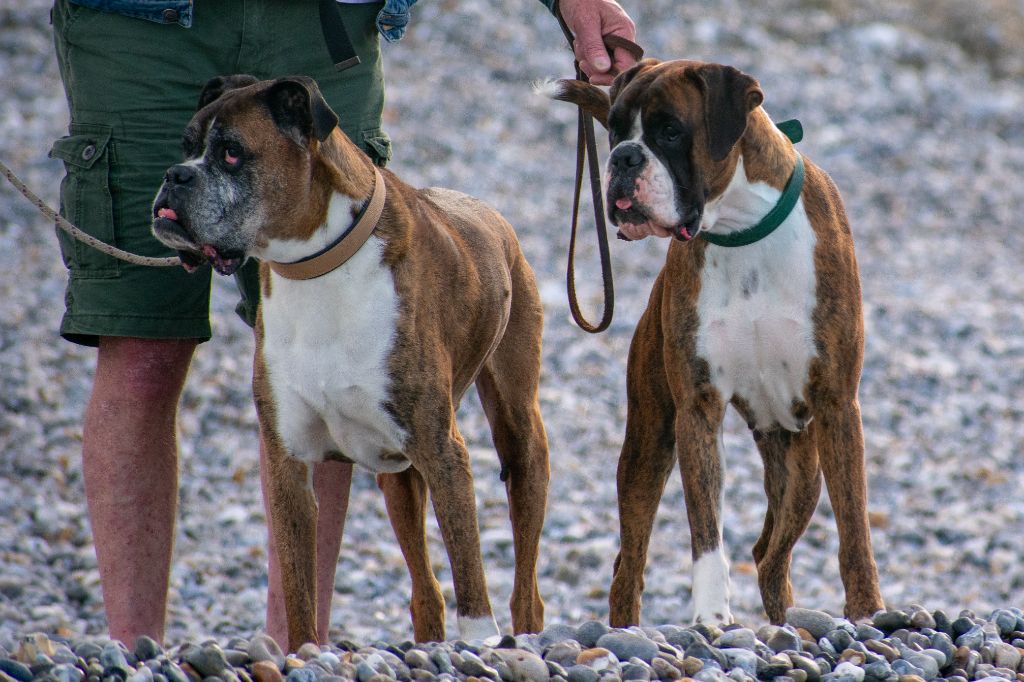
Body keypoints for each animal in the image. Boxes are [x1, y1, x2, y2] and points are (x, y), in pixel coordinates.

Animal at [149, 74, 552, 647]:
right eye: (186, 147)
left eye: (230, 153)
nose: (174, 175)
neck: (314, 267)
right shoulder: (288, 464)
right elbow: (298, 588)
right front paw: (302, 652)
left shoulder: (444, 452)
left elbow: (469, 568)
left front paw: (478, 641)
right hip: (399, 481)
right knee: (426, 591)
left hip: (521, 441)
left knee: (525, 588)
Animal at [548, 61, 884, 622]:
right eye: (614, 131)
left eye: (670, 131)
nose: (623, 157)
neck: (741, 226)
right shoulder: (697, 409)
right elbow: (706, 532)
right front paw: (710, 616)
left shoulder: (838, 405)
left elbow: (854, 529)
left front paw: (867, 611)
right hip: (647, 446)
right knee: (628, 567)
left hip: (802, 467)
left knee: (770, 556)